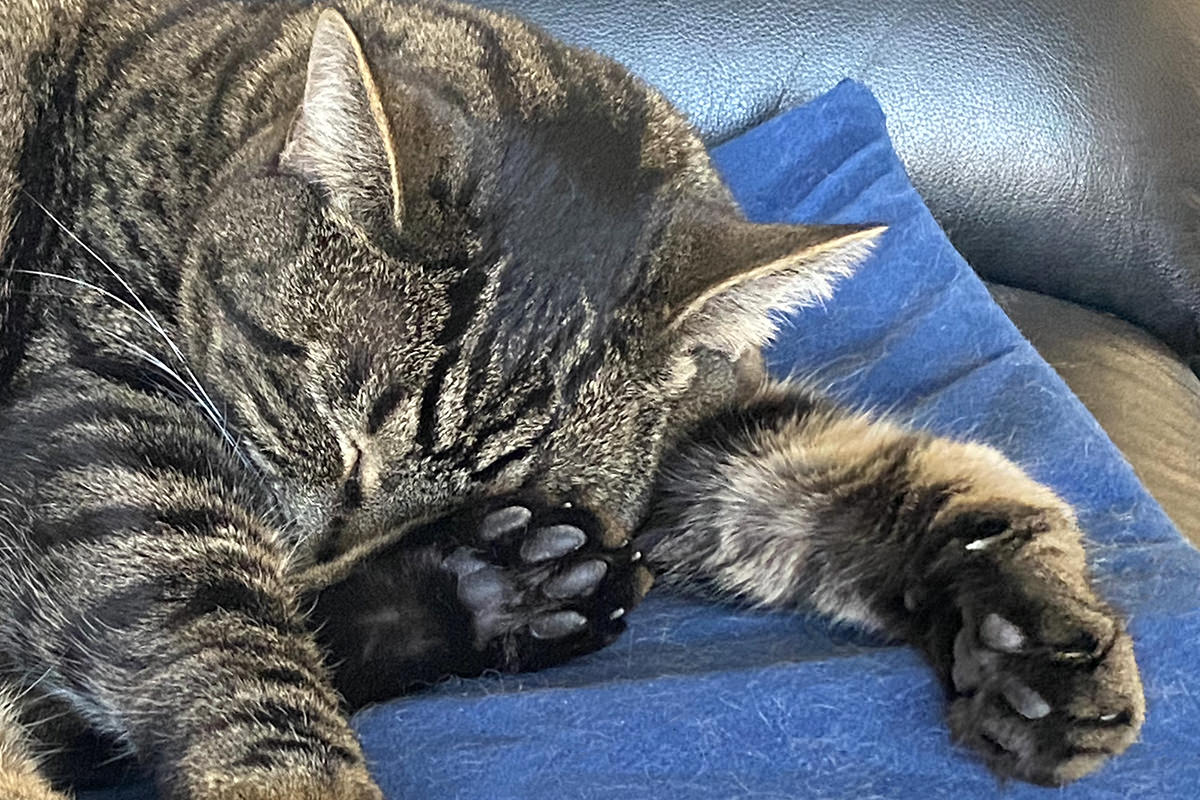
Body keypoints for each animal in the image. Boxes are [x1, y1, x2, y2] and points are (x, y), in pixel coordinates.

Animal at [0, 1, 1142, 800]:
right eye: (336, 433)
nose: (321, 555)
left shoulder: (703, 428)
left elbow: (900, 476)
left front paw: (1040, 627)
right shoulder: (103, 395)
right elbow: (223, 629)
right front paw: (297, 770)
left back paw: (503, 585)